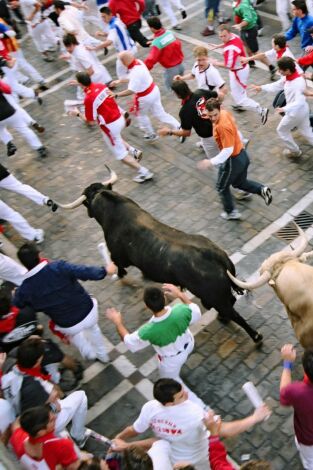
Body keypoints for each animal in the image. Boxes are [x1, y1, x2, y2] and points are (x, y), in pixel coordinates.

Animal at [83, 185, 260, 346]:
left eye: (88, 198)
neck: (114, 210)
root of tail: (216, 255)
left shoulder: (117, 255)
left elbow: (119, 265)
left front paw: (120, 274)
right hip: (218, 296)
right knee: (231, 302)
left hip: (215, 298)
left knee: (234, 313)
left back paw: (256, 337)